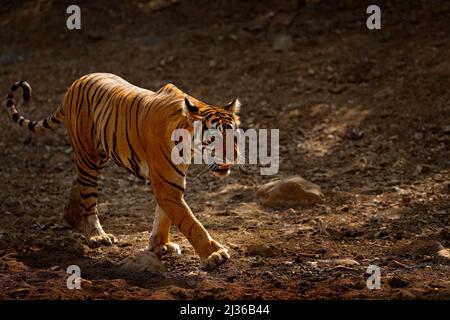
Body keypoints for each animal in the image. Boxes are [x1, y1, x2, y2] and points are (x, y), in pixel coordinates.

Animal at [4, 73, 243, 270]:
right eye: (214, 138)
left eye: (234, 136)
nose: (232, 157)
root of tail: (76, 82)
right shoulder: (166, 183)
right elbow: (192, 223)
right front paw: (214, 255)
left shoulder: (171, 181)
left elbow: (164, 217)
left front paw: (160, 245)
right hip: (89, 156)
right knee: (88, 197)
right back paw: (97, 236)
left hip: (100, 154)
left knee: (77, 179)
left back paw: (71, 216)